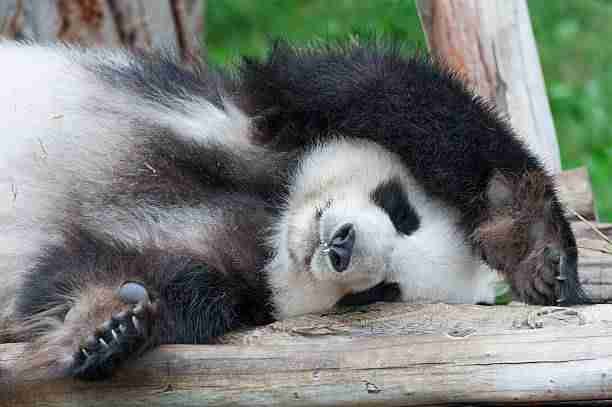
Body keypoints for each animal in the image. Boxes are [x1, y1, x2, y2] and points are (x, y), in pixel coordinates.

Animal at [0, 39, 584, 380]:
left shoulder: (239, 282)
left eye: (380, 293)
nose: (341, 245)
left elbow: (110, 272)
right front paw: (535, 245)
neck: (272, 222)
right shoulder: (263, 118)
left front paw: (106, 326)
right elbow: (388, 93)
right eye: (401, 212)